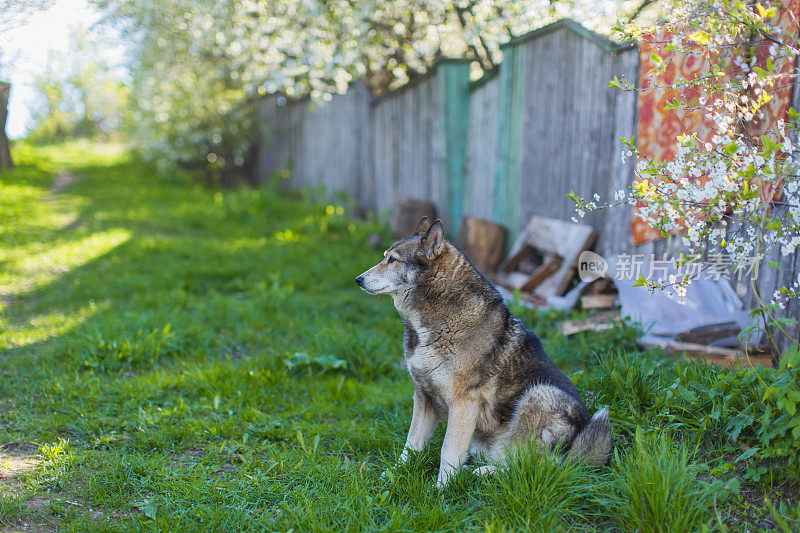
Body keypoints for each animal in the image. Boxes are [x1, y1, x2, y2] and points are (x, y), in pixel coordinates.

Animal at [354, 216, 608, 486]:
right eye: (384, 257)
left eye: (392, 260)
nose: (358, 279)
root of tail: (576, 457)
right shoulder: (423, 396)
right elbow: (412, 444)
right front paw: (395, 473)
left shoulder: (463, 403)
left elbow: (448, 449)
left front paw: (441, 489)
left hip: (539, 393)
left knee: (530, 466)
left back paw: (482, 473)